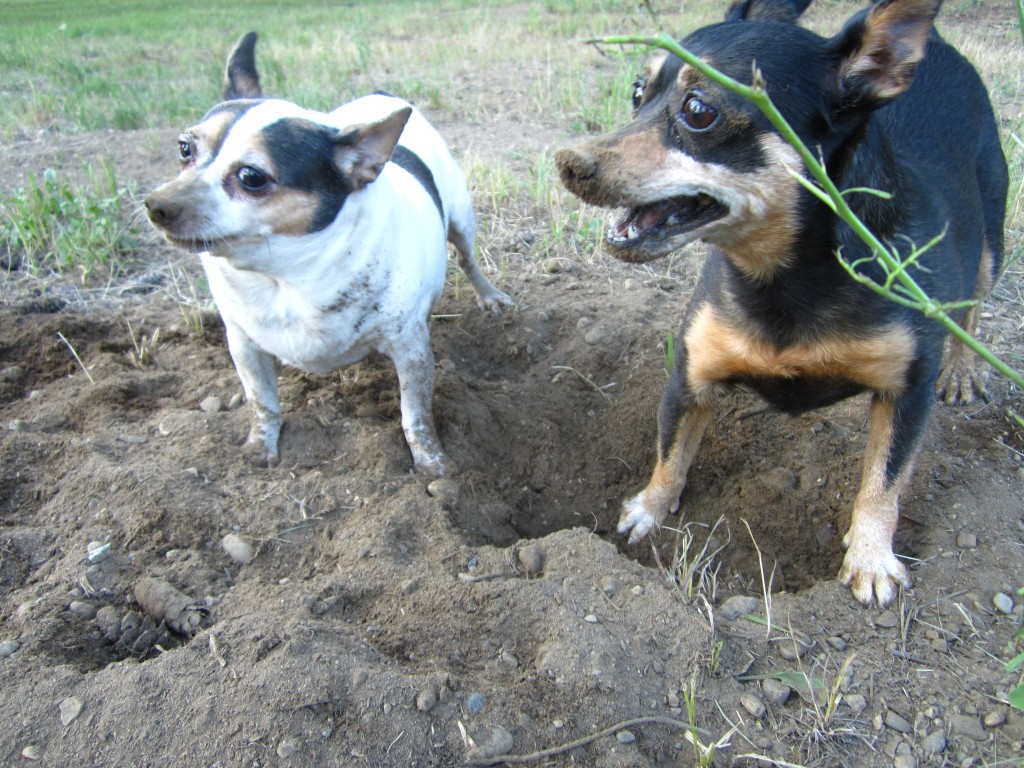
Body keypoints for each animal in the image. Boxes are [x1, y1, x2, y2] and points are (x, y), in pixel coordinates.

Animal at [557, 0, 1003, 606]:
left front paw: (870, 556)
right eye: (636, 93)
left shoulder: (906, 393)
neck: (781, 280)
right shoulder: (688, 377)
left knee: (973, 309)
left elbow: (884, 482)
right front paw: (649, 508)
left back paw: (963, 372)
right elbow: (670, 452)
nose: (567, 162)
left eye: (699, 111)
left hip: (990, 247)